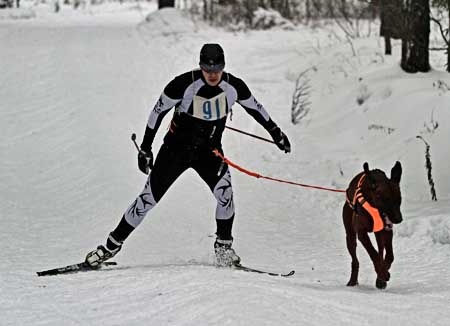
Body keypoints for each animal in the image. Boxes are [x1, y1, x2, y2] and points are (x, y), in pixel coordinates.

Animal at [342, 162, 402, 290]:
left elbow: (389, 256)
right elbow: (373, 253)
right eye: (386, 199)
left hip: (378, 233)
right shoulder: (361, 233)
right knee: (355, 260)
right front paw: (382, 273)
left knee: (381, 250)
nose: (399, 219)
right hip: (350, 235)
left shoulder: (387, 230)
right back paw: (353, 280)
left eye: (399, 199)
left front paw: (381, 277)